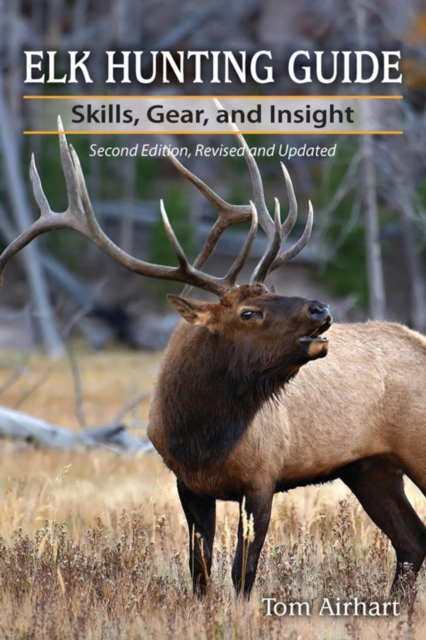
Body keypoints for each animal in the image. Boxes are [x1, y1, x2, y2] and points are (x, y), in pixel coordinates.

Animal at [0, 118, 425, 600]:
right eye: (249, 312)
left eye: (274, 291)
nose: (321, 309)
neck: (203, 435)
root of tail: (419, 339)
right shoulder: (188, 483)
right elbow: (199, 567)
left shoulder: (262, 479)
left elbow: (244, 571)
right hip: (369, 466)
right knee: (412, 541)